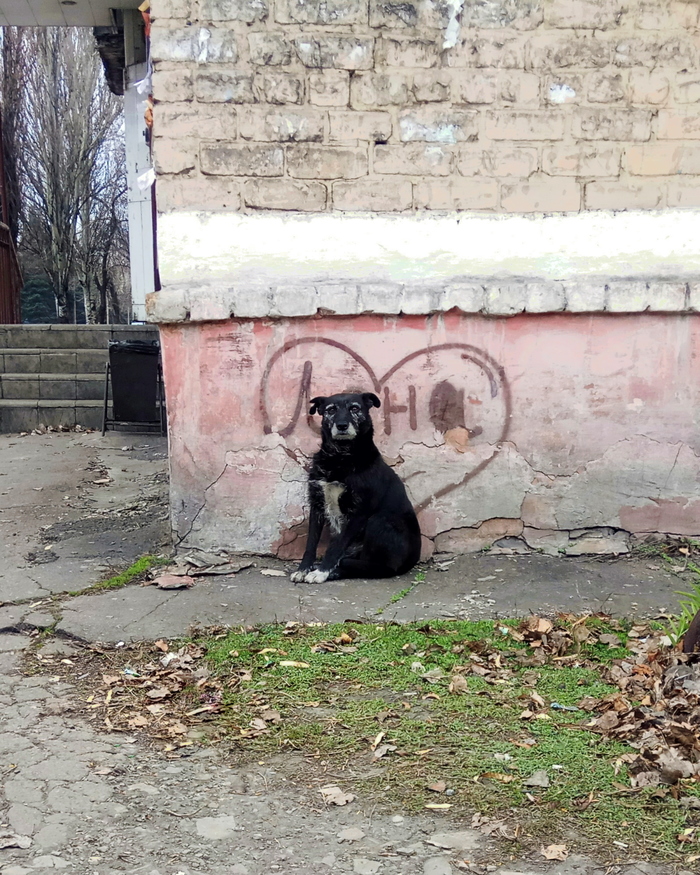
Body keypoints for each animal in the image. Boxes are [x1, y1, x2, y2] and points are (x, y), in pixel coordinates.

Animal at [290, 394, 422, 584]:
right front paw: (303, 569)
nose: (342, 425)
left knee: (382, 567)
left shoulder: (359, 513)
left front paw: (322, 571)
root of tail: (413, 560)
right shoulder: (317, 505)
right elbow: (311, 543)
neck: (339, 457)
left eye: (354, 408)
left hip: (379, 521)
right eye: (331, 410)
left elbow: (336, 546)